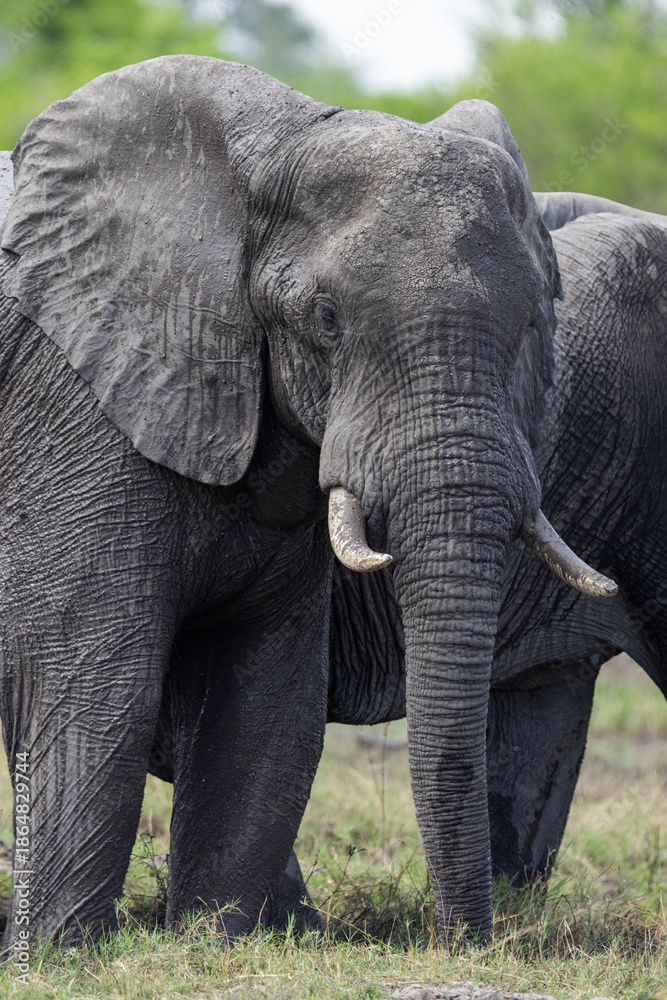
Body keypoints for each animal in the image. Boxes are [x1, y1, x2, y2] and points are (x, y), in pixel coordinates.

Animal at [0, 55, 615, 949]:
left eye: (532, 320)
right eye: (325, 320)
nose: (469, 941)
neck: (280, 142)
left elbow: (266, 699)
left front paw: (215, 943)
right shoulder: (79, 403)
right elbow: (97, 683)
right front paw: (55, 957)